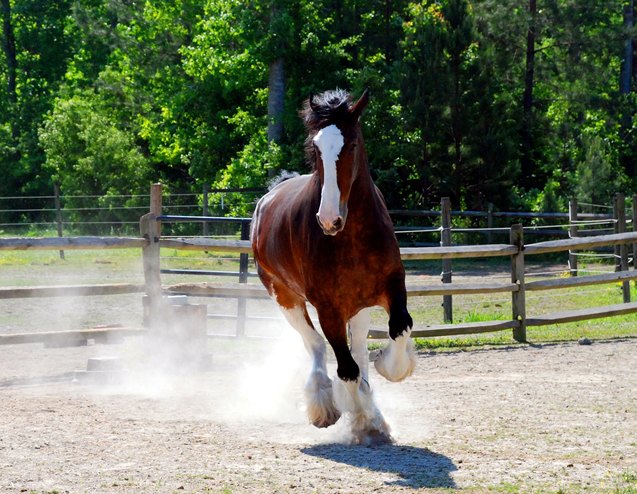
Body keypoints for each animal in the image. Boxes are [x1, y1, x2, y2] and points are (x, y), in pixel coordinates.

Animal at [251, 89, 414, 444]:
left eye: (351, 144)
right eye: (316, 147)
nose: (329, 219)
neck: (352, 236)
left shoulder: (392, 285)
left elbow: (399, 329)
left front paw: (387, 367)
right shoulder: (328, 309)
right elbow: (346, 369)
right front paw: (362, 420)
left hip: (357, 305)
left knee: (359, 350)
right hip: (285, 298)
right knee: (314, 344)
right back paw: (323, 406)